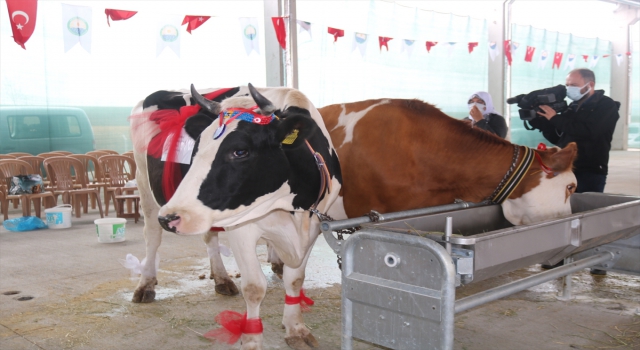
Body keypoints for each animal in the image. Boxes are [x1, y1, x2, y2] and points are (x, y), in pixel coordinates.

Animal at [127, 85, 342, 350]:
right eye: (196, 149)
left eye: (240, 151)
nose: (170, 218)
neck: (292, 207)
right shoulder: (242, 229)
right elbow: (254, 287)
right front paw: (252, 340)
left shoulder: (313, 225)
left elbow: (295, 280)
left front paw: (296, 329)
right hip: (144, 186)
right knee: (152, 238)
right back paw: (146, 284)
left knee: (209, 238)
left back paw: (221, 278)